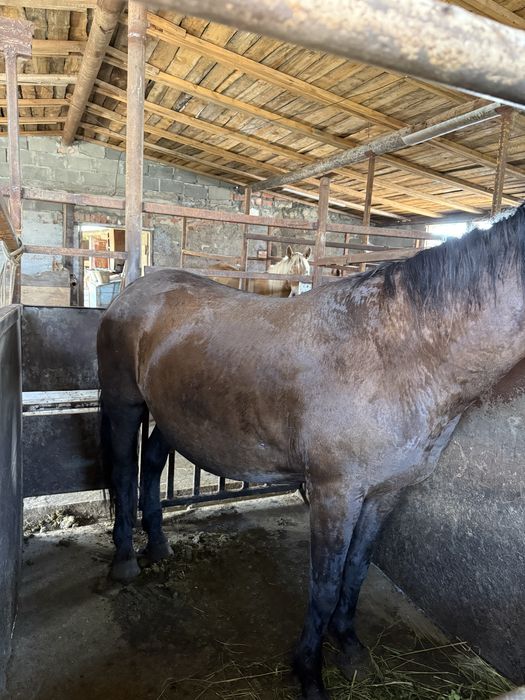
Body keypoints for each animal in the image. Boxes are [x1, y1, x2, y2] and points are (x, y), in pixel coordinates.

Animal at [97, 205, 525, 699]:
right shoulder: (333, 494)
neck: (396, 354)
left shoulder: (386, 493)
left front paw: (351, 647)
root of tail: (132, 292)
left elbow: (356, 570)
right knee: (125, 472)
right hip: (125, 405)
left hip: (174, 416)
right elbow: (323, 584)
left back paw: (159, 544)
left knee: (150, 465)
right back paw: (126, 560)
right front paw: (310, 673)